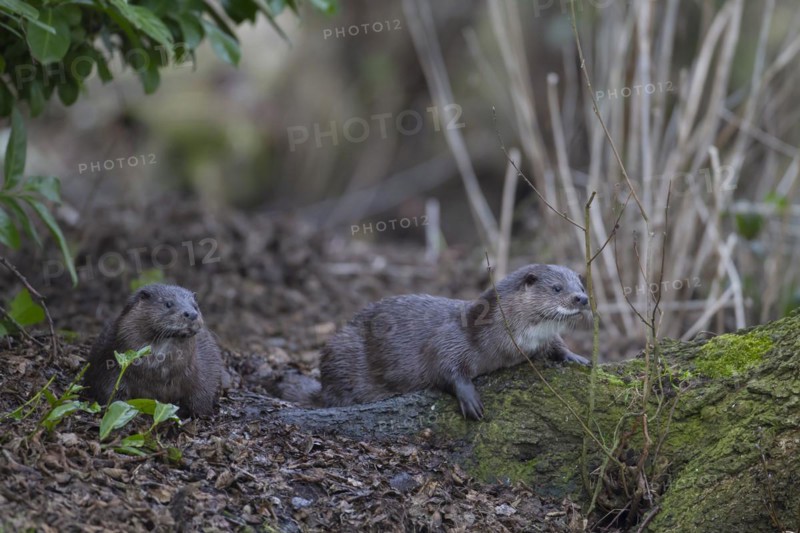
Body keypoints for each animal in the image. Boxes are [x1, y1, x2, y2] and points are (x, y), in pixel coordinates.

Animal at [84, 284, 225, 417]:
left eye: (195, 307)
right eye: (168, 304)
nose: (192, 314)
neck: (158, 373)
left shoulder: (202, 370)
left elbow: (202, 393)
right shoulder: (110, 366)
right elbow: (112, 392)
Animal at [277, 264, 590, 420]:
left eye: (581, 285)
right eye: (557, 288)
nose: (582, 299)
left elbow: (555, 343)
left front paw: (575, 356)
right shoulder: (452, 337)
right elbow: (443, 364)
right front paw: (470, 398)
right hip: (342, 348)